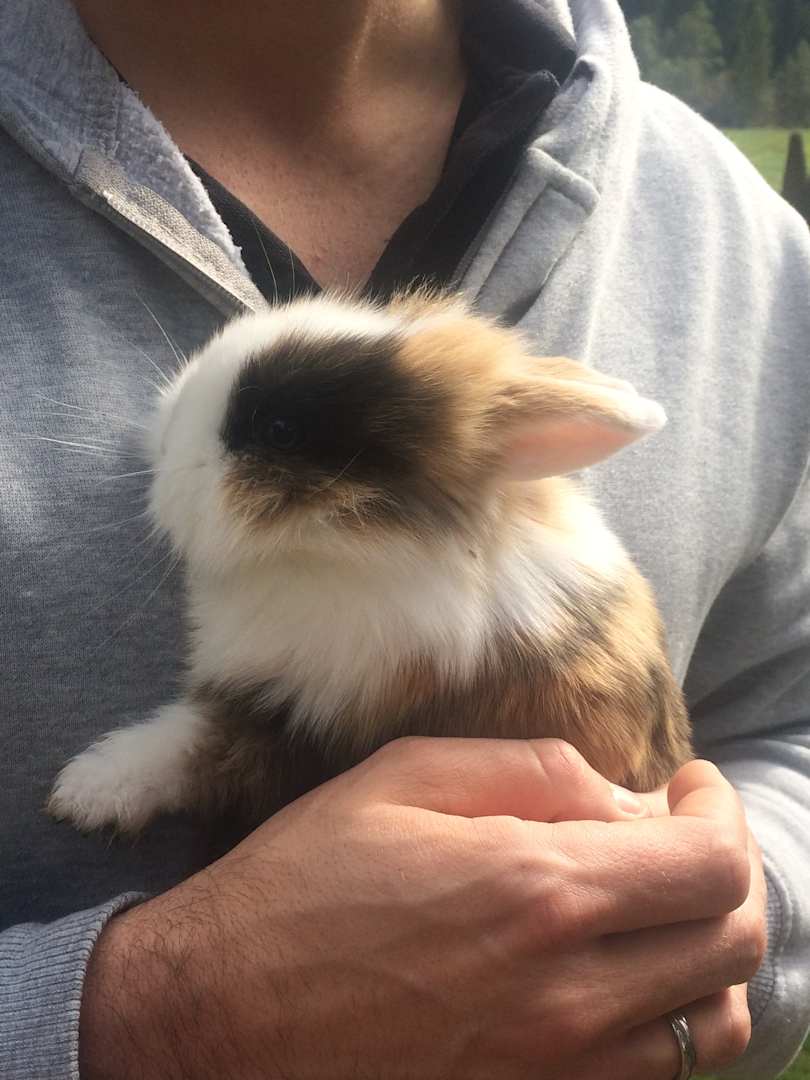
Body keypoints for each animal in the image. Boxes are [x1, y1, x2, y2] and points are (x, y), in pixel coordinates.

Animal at [48, 290, 691, 836]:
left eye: (280, 430)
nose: (163, 441)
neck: (348, 543)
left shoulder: (294, 719)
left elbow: (188, 747)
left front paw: (82, 792)